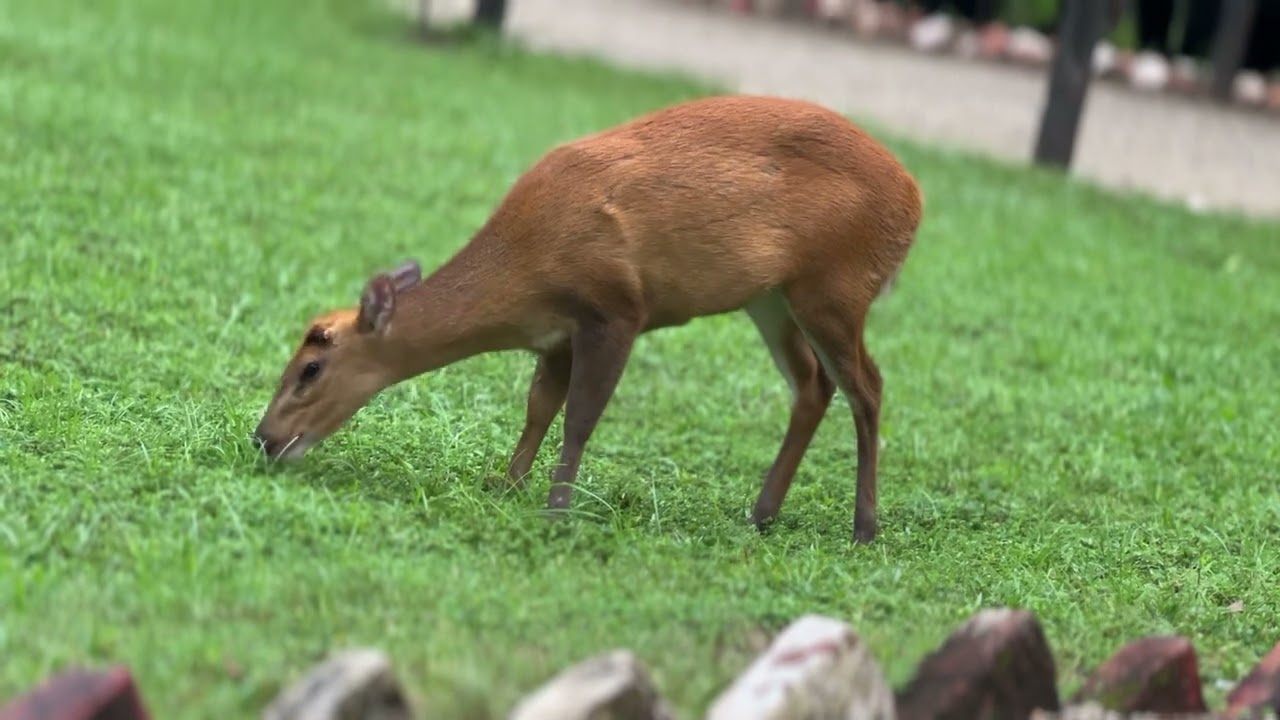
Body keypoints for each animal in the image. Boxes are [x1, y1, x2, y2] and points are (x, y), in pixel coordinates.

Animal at [251, 94, 924, 544]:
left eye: (310, 367)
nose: (264, 438)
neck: (526, 264)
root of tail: (915, 200)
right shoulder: (557, 335)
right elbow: (538, 405)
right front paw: (508, 485)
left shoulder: (616, 308)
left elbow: (579, 417)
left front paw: (555, 509)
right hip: (772, 297)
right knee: (814, 384)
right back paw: (762, 512)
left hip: (835, 285)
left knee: (868, 386)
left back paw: (864, 527)